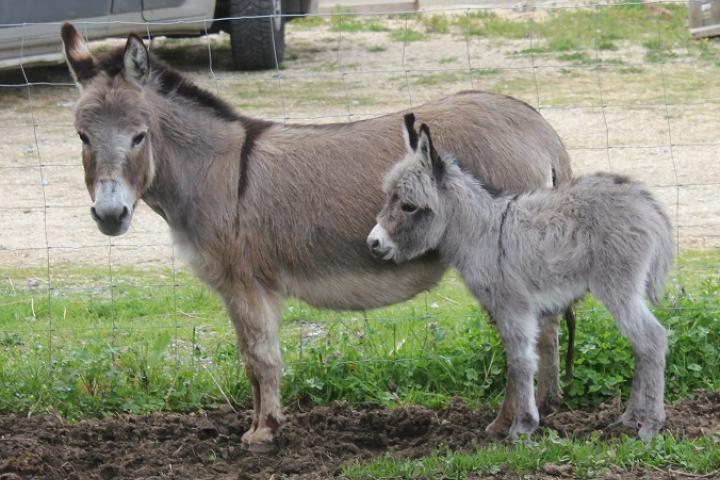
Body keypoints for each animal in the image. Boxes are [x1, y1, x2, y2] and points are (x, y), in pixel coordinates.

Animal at [372, 115, 676, 438]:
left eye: (409, 206)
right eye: (389, 197)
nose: (373, 243)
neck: (479, 231)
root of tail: (648, 204)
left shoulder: (512, 305)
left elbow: (520, 362)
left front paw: (522, 428)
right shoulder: (521, 308)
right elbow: (527, 359)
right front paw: (525, 423)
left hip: (618, 287)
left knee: (652, 339)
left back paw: (650, 426)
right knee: (641, 345)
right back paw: (630, 418)